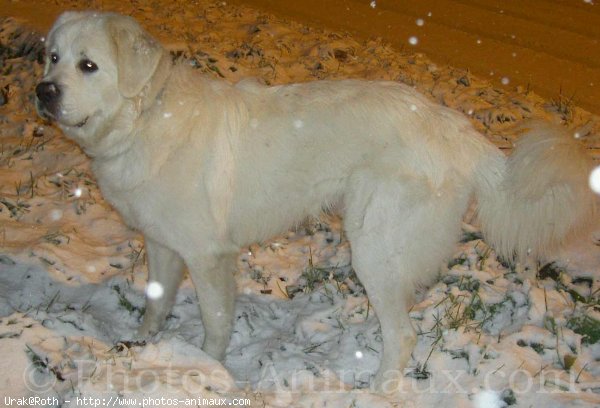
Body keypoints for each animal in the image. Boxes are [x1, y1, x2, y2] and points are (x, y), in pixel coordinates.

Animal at [37, 10, 596, 392]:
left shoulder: (208, 255)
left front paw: (210, 370)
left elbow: (214, 323)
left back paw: (376, 392)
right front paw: (142, 347)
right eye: (52, 57)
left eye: (89, 66)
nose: (43, 91)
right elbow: (155, 304)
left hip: (372, 245)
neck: (147, 118)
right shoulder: (161, 244)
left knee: (404, 335)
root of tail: (453, 126)